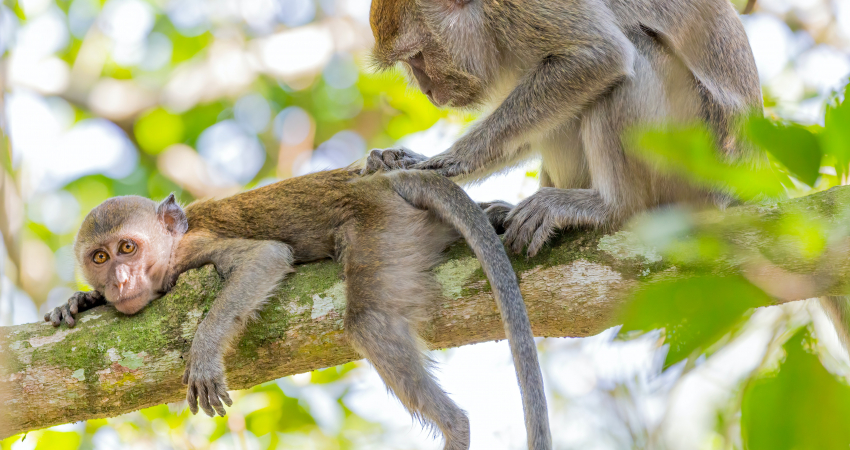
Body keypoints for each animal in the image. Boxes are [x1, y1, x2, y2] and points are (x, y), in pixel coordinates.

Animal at [45, 168, 552, 450]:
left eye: (128, 248)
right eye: (100, 258)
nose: (119, 281)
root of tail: (381, 182)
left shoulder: (193, 251)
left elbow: (265, 257)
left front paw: (204, 351)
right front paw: (80, 300)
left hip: (381, 223)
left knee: (369, 323)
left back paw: (456, 428)